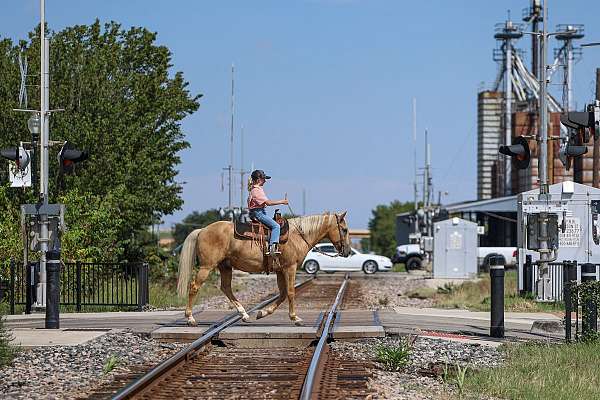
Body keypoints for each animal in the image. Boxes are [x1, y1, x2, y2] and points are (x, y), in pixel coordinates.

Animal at [177, 211, 352, 326]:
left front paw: (262, 313)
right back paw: (190, 318)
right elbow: (290, 292)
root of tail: (202, 230)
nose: (348, 251)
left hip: (225, 266)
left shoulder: (281, 270)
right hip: (207, 267)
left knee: (226, 288)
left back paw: (245, 315)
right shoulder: (290, 268)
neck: (297, 236)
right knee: (194, 286)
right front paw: (295, 318)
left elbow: (282, 294)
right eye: (344, 230)